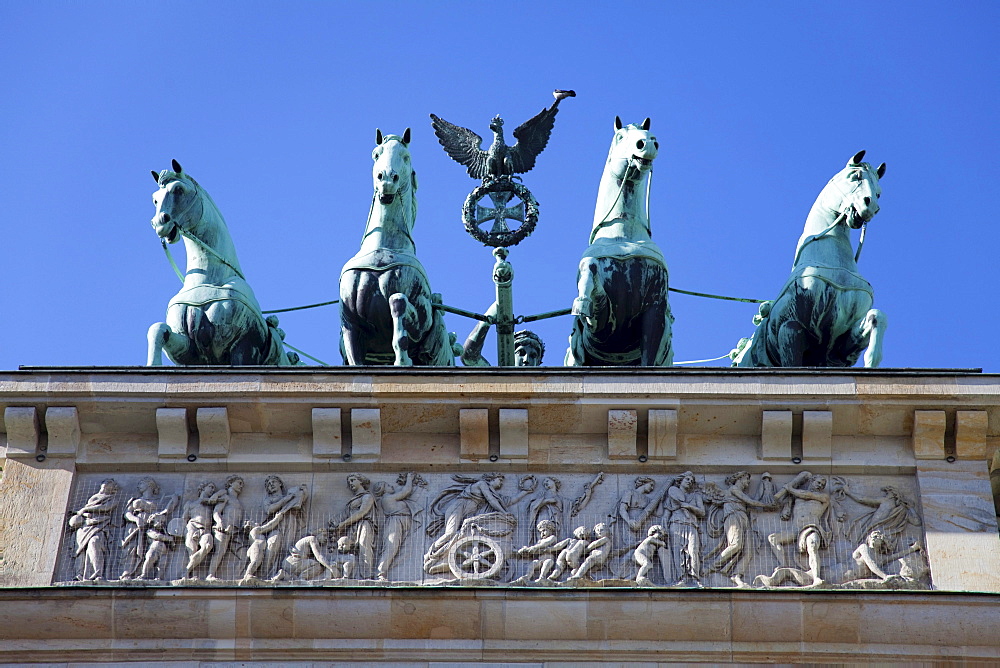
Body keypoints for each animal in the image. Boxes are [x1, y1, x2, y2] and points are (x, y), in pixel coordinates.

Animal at [145, 160, 292, 366]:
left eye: (179, 189)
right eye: (155, 199)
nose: (160, 223)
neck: (209, 278)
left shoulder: (244, 347)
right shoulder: (188, 352)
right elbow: (158, 329)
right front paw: (153, 364)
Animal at [342, 126, 456, 366]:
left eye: (406, 157)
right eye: (376, 154)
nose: (387, 179)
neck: (384, 248)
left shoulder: (423, 317)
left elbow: (398, 301)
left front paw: (402, 360)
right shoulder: (350, 323)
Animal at [568, 115, 676, 366]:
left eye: (651, 135)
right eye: (619, 136)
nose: (647, 143)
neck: (623, 236)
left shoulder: (655, 309)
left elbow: (648, 357)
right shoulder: (601, 329)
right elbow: (589, 269)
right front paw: (582, 301)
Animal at [732, 152, 888, 368]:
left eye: (879, 192)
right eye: (855, 176)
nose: (870, 206)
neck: (832, 261)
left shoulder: (838, 348)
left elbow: (877, 316)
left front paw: (872, 360)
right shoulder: (790, 328)